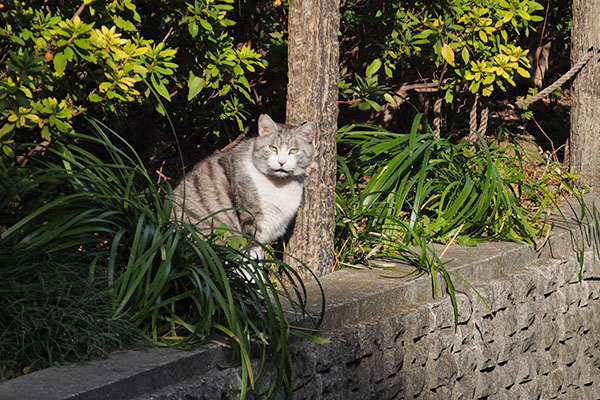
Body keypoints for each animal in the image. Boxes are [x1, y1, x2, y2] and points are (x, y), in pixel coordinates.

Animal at [172, 112, 316, 250]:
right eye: (273, 148)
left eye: (294, 151)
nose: (281, 162)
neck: (279, 185)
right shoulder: (252, 219)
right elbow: (252, 251)